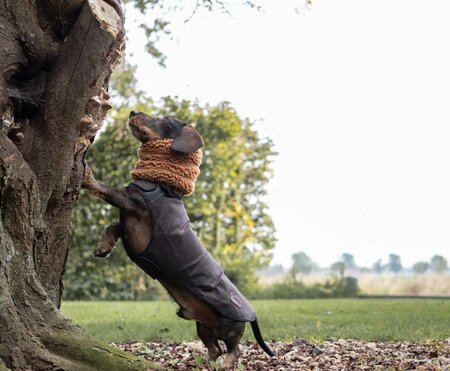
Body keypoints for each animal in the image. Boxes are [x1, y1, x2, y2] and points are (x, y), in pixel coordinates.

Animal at [81, 111, 274, 370]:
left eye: (165, 120)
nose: (133, 112)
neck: (165, 184)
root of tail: (252, 314)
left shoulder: (130, 200)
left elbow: (106, 190)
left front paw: (86, 174)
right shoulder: (130, 220)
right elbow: (113, 226)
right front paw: (104, 247)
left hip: (228, 324)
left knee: (234, 350)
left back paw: (225, 363)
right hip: (203, 327)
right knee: (214, 348)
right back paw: (203, 363)